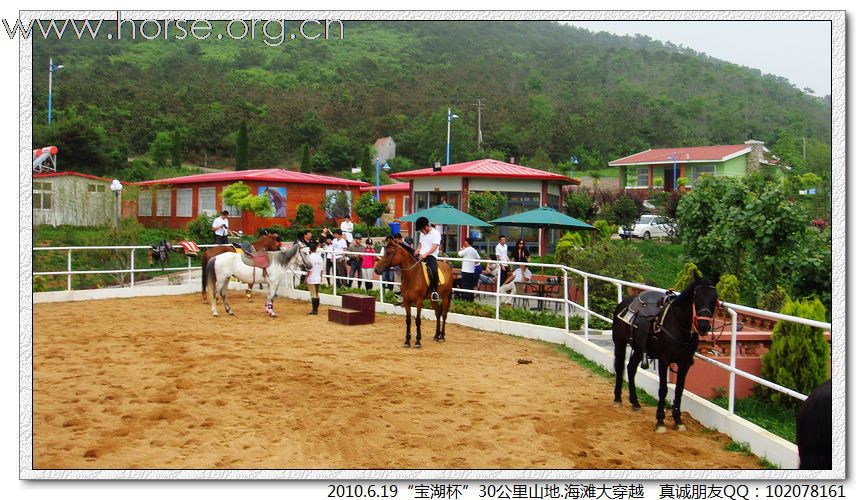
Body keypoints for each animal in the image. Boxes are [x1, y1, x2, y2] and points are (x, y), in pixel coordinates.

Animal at [612, 272, 720, 432]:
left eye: (715, 297)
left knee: (631, 369)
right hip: (619, 343)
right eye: (696, 296)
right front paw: (660, 421)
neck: (679, 326)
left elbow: (679, 389)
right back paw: (618, 399)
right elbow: (663, 389)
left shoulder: (685, 363)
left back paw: (635, 402)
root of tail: (624, 302)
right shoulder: (664, 360)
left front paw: (678, 420)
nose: (703, 325)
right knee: (620, 368)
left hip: (638, 349)